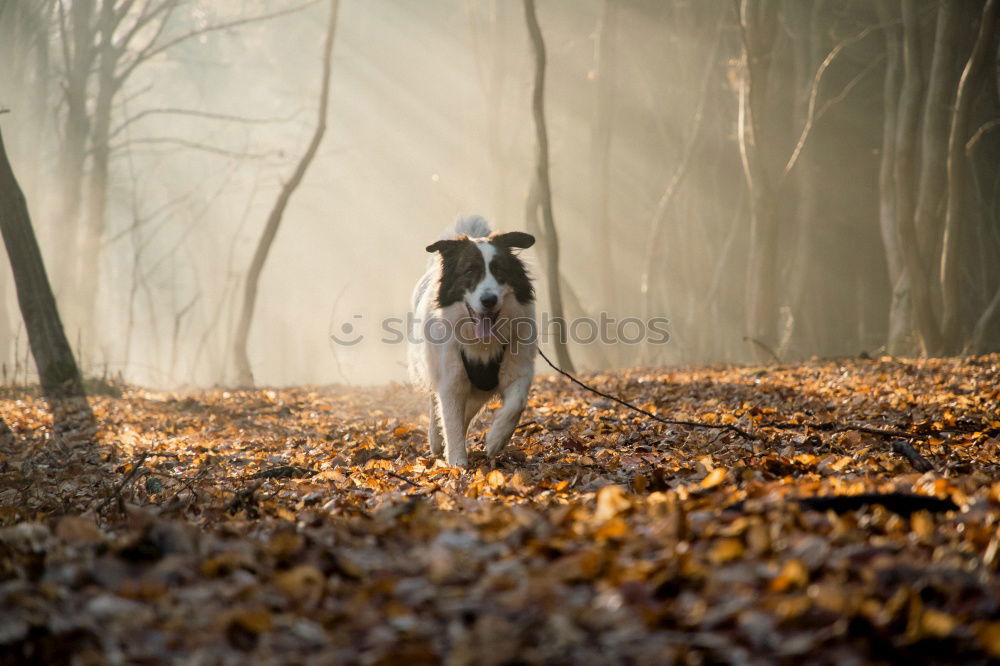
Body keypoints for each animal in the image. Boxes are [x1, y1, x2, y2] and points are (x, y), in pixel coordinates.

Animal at [410, 215, 540, 464]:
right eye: (469, 270)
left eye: (499, 270)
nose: (489, 300)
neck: (482, 342)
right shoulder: (450, 379)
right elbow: (449, 418)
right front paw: (457, 462)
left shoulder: (518, 365)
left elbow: (518, 402)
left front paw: (496, 439)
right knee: (436, 405)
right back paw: (436, 440)